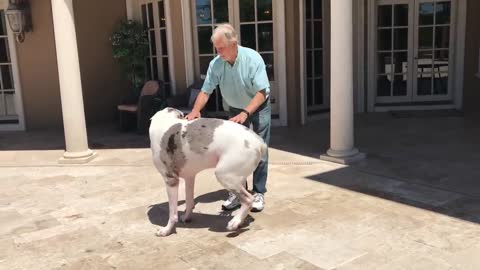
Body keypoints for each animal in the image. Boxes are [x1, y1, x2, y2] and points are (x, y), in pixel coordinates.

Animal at [148, 107, 268, 236]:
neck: (165, 121)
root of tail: (259, 142)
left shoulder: (171, 179)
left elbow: (172, 212)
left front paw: (166, 230)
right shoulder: (190, 177)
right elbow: (189, 201)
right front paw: (186, 217)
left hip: (224, 175)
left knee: (248, 199)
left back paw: (234, 222)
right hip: (236, 177)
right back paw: (239, 221)